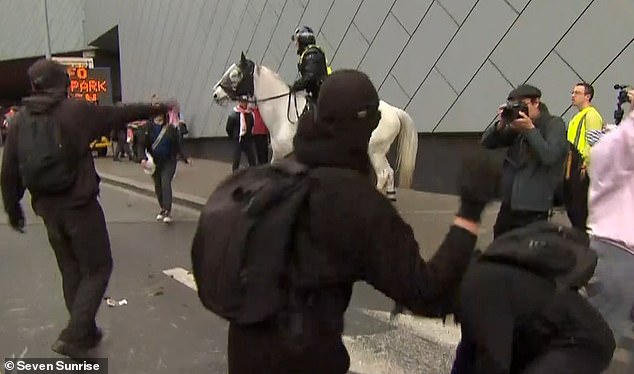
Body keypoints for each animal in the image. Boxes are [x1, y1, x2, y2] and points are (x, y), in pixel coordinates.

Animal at [215, 51, 418, 202]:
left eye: (235, 75)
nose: (216, 94)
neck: (281, 111)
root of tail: (393, 111)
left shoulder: (281, 155)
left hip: (375, 151)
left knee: (384, 175)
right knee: (389, 175)